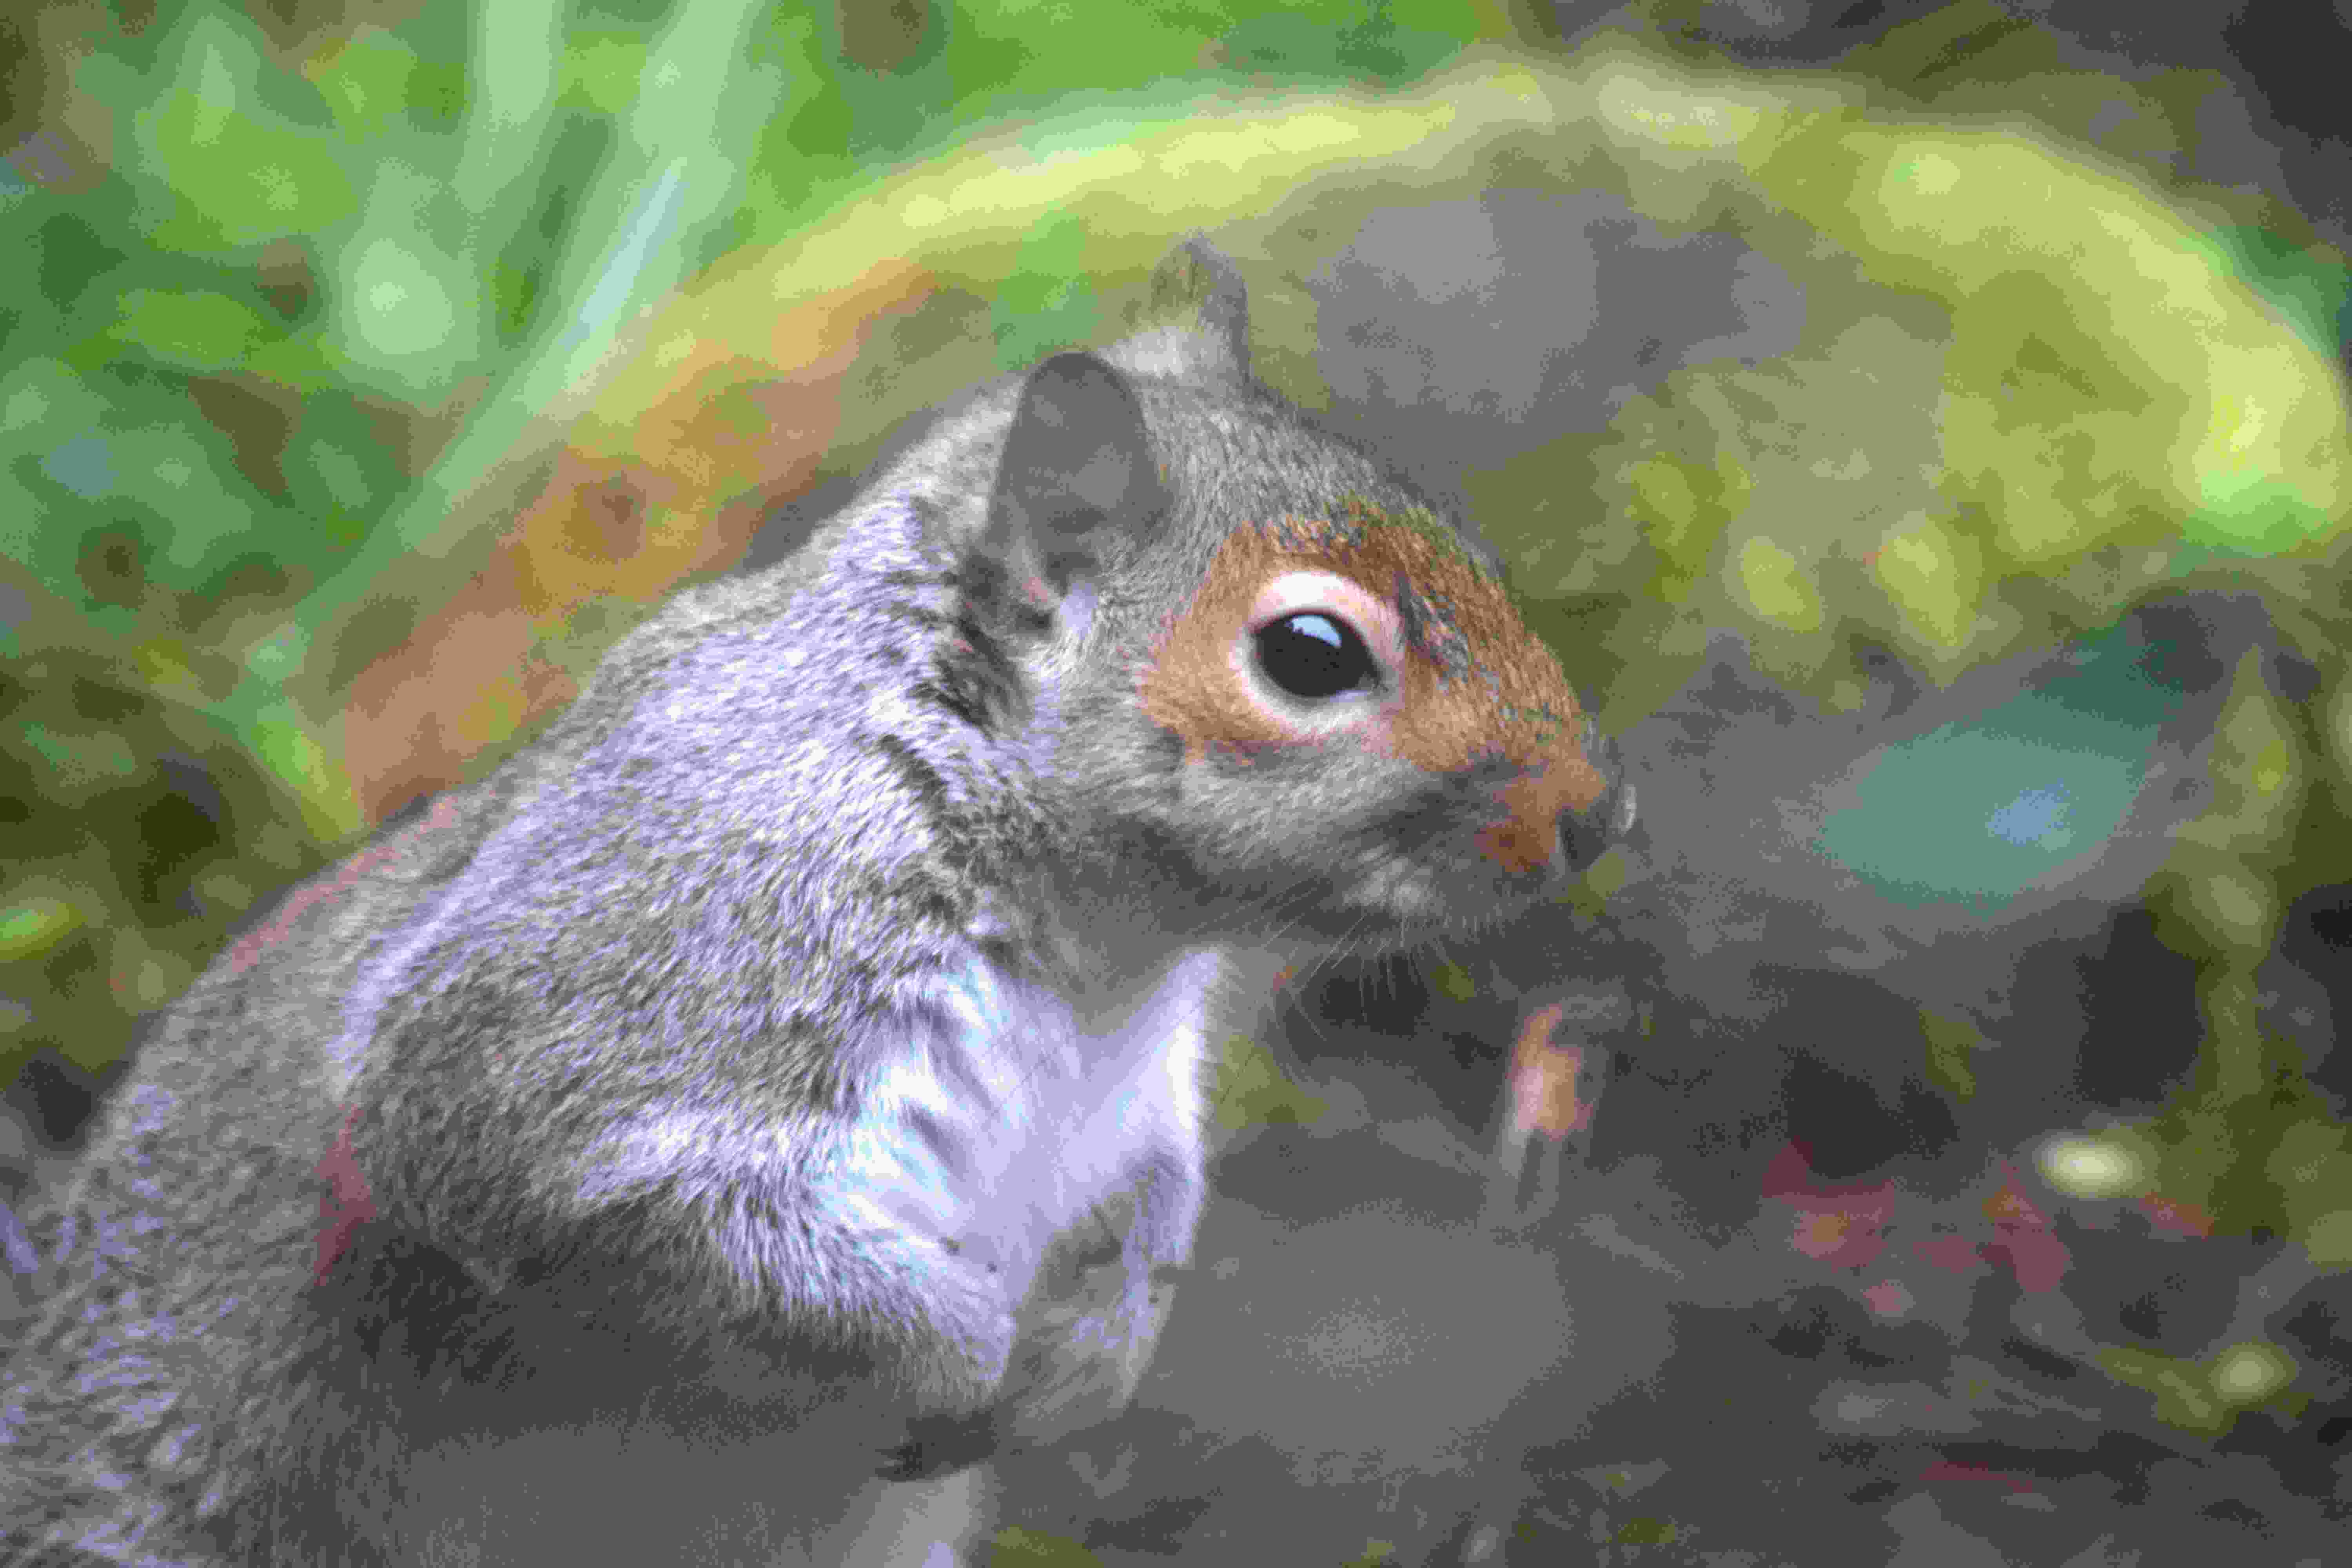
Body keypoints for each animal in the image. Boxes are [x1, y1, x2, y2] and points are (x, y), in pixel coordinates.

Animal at [0, 237, 1634, 1566]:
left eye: (1478, 552)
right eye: (1308, 653)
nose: (1598, 812)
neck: (1100, 947)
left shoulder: (1145, 1089)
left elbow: (1163, 1191)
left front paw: (1094, 1356)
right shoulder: (644, 970)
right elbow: (623, 1208)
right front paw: (969, 1350)